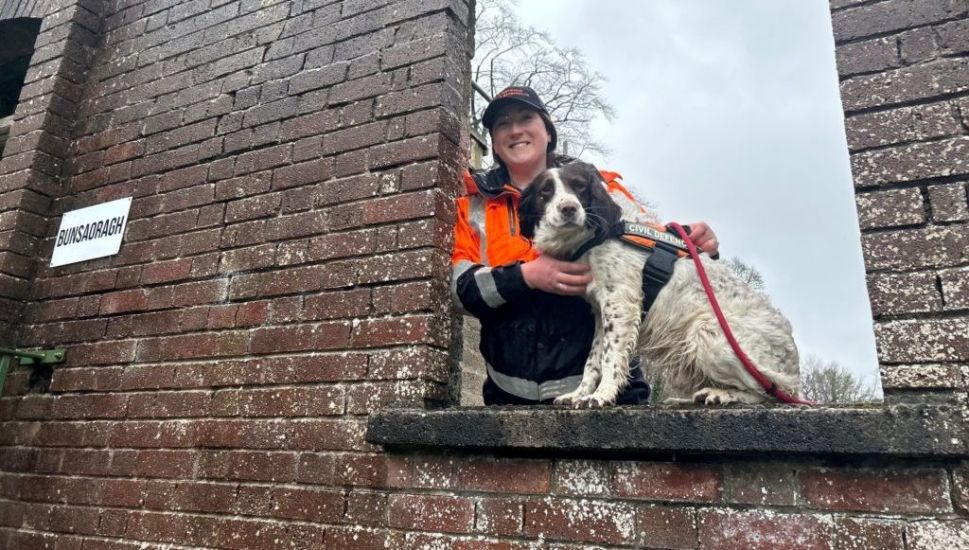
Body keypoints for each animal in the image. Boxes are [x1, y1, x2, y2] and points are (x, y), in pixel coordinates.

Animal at [520, 162, 796, 408]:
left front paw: (600, 396)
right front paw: (579, 394)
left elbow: (610, 359)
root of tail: (793, 365)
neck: (599, 234)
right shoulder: (601, 312)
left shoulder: (621, 304)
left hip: (705, 332)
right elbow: (593, 360)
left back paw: (720, 395)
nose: (568, 208)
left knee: (766, 391)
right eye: (545, 191)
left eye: (579, 186)